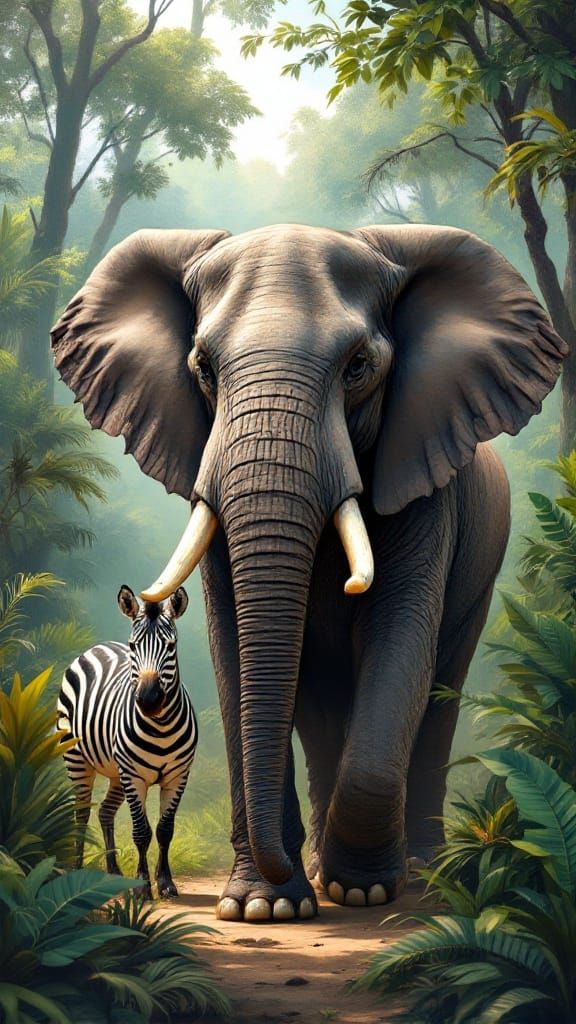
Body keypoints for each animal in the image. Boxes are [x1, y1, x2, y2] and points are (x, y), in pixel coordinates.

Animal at [57, 584, 197, 898]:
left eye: (171, 647)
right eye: (133, 647)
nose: (148, 699)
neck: (160, 727)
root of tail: (97, 647)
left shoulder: (178, 776)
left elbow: (165, 830)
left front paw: (165, 882)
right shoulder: (135, 776)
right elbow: (141, 832)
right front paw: (143, 886)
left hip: (116, 773)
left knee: (105, 812)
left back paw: (114, 873)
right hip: (79, 762)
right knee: (81, 814)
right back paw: (76, 870)